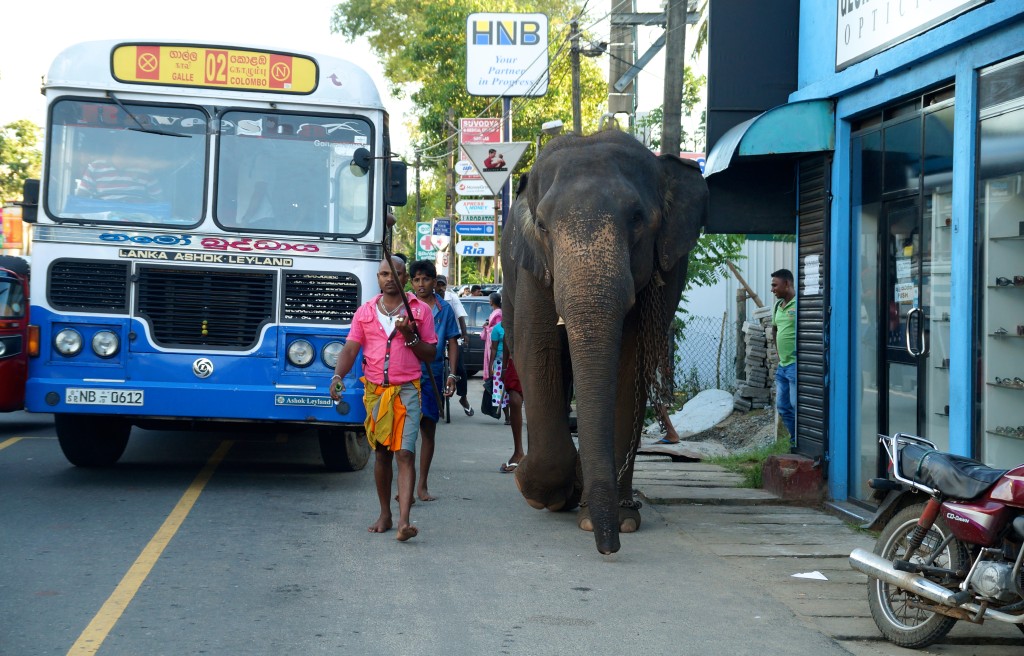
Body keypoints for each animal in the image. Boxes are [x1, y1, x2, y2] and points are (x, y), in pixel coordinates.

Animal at [499, 130, 708, 556]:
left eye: (638, 218)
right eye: (542, 225)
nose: (609, 549)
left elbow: (629, 367)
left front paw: (619, 520)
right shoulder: (532, 271)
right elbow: (536, 352)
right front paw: (532, 486)